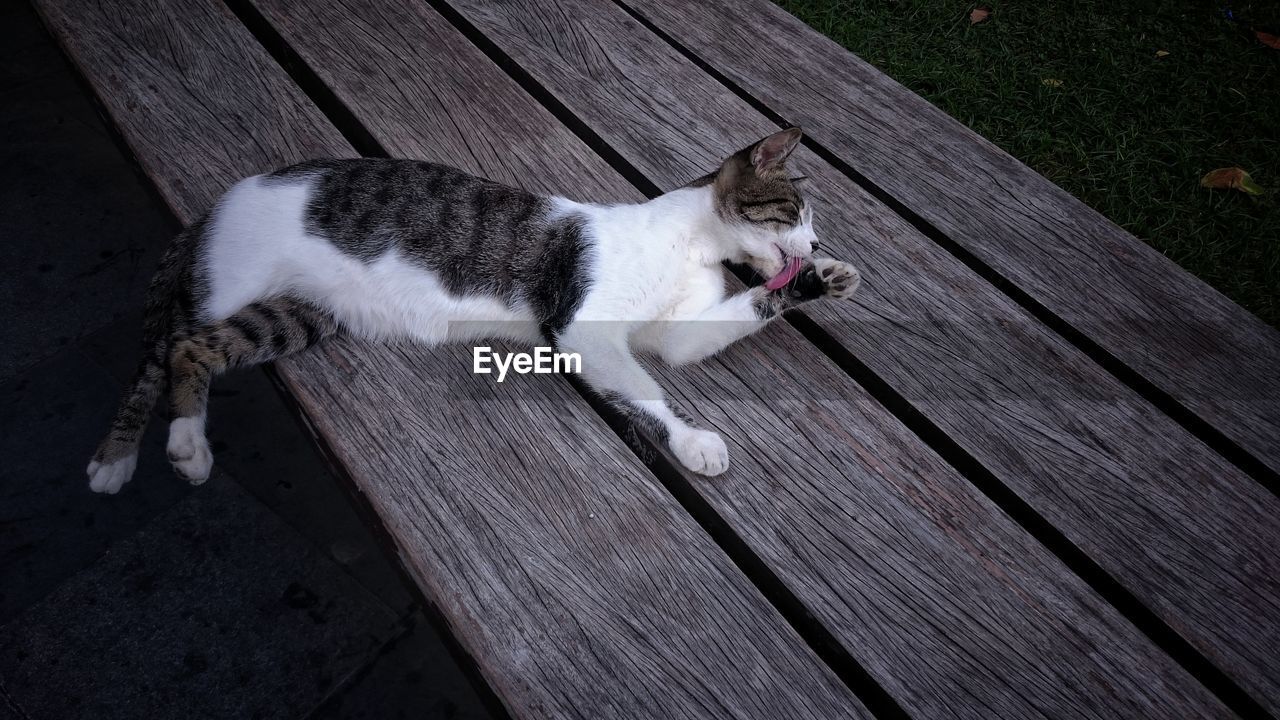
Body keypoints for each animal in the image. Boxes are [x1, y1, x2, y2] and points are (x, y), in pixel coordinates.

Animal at [87, 126, 860, 489]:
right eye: (794, 210)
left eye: (813, 225)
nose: (819, 240)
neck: (691, 245)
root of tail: (221, 202)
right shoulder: (581, 327)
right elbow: (646, 392)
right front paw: (693, 440)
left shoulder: (675, 334)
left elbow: (722, 324)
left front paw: (822, 281)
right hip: (228, 285)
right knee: (167, 351)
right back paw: (166, 448)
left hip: (294, 317)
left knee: (192, 348)